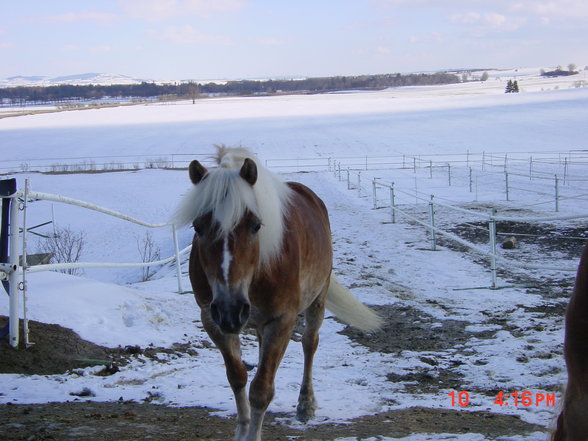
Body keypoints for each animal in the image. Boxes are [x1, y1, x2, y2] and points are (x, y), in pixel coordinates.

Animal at [172, 147, 384, 440]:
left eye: (255, 225)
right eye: (198, 227)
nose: (230, 309)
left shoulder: (282, 320)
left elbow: (261, 390)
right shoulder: (212, 320)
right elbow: (237, 377)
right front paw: (243, 430)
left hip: (317, 300)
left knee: (309, 344)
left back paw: (306, 405)